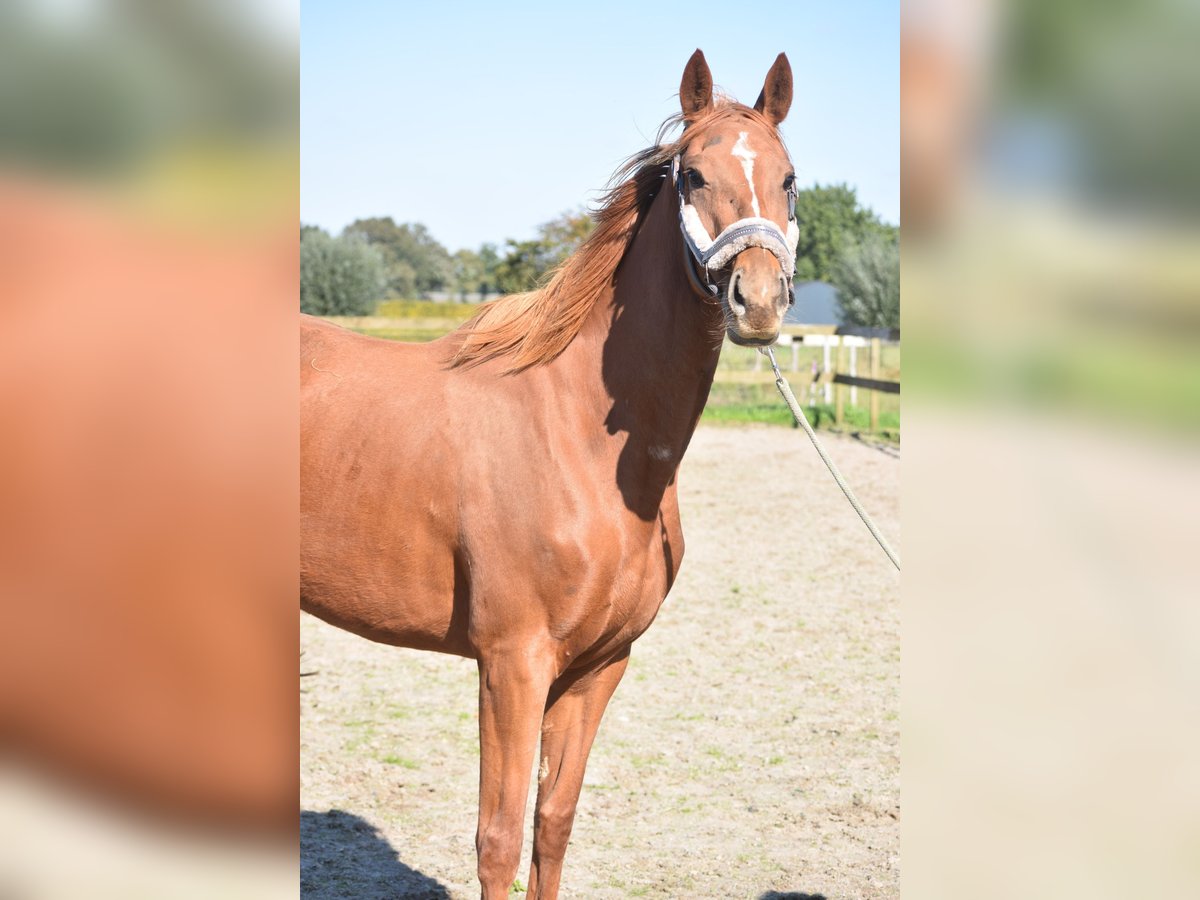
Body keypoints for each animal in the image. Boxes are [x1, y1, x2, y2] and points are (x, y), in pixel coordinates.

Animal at [302, 49, 796, 900]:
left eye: (789, 179)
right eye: (694, 176)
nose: (758, 300)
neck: (577, 440)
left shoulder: (599, 668)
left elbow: (553, 824)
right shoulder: (512, 666)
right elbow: (498, 839)